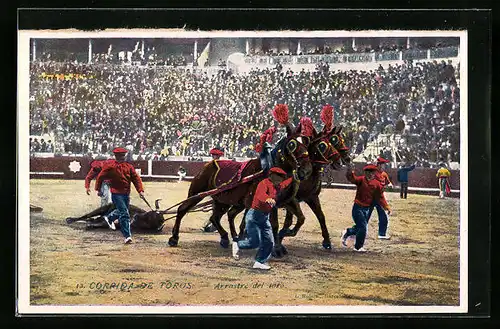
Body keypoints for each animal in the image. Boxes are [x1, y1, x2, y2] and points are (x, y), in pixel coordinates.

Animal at [170, 121, 314, 250]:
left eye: (306, 142)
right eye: (292, 144)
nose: (307, 170)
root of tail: (208, 164)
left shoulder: (287, 200)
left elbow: (301, 218)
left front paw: (287, 234)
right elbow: (273, 224)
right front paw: (276, 248)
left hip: (223, 200)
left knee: (216, 217)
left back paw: (226, 238)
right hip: (197, 192)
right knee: (182, 209)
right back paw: (174, 238)